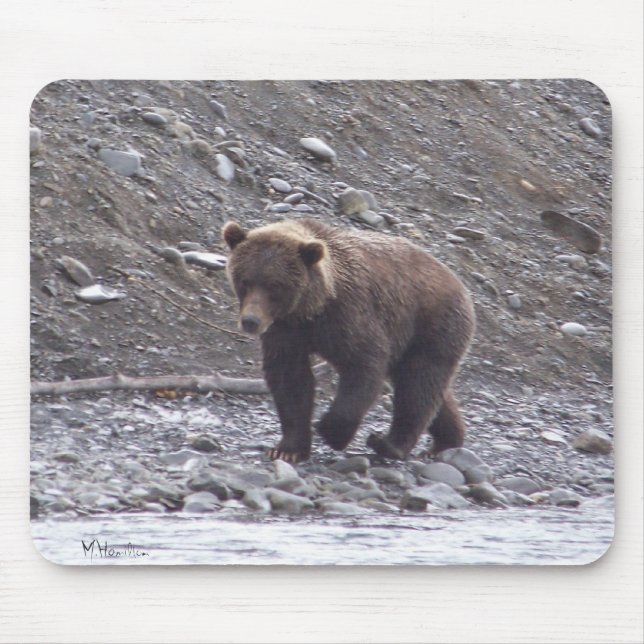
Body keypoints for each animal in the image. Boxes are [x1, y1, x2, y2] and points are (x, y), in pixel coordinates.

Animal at [222, 218, 475, 464]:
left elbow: (364, 366)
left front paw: (330, 431)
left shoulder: (349, 316)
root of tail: (460, 284)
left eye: (275, 285)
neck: (312, 310)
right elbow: (290, 380)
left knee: (418, 384)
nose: (251, 321)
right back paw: (446, 442)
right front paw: (288, 449)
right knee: (433, 391)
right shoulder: (286, 332)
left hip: (431, 327)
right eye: (245, 281)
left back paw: (390, 444)